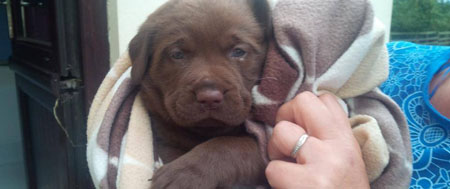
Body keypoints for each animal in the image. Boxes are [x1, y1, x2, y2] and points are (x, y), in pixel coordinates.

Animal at [128, 0, 270, 188]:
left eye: (239, 52)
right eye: (177, 54)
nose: (209, 96)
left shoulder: (267, 147)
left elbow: (231, 144)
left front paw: (183, 174)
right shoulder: (164, 141)